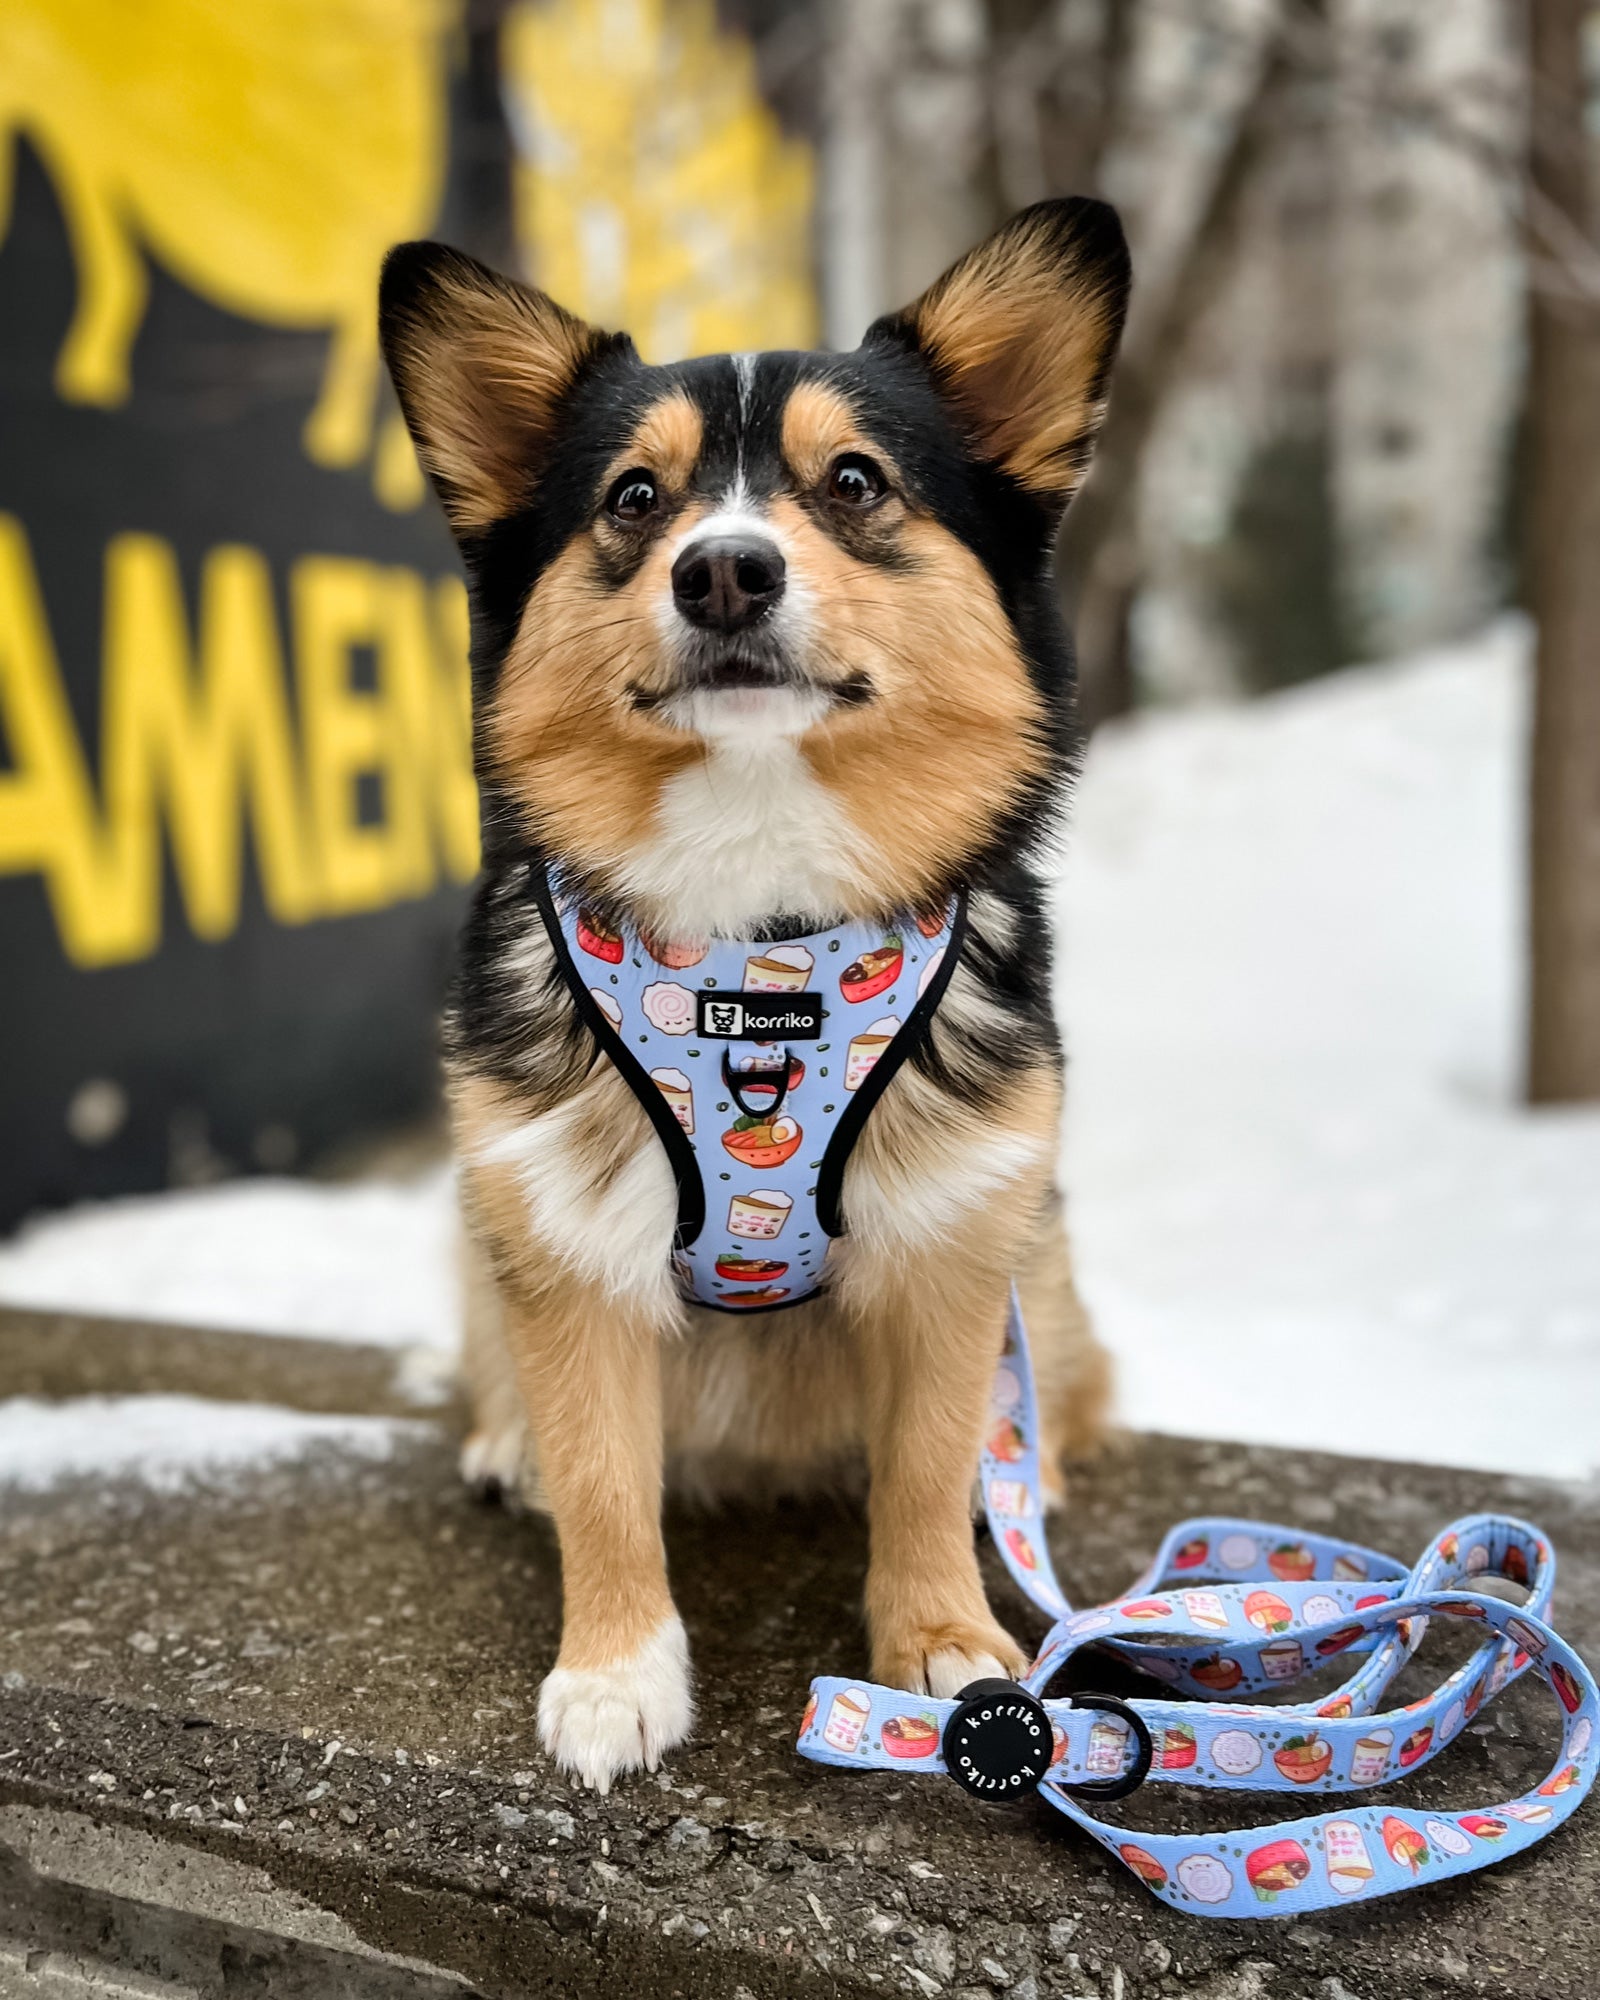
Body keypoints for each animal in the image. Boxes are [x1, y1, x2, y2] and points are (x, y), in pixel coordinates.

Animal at [378, 199, 1128, 1800]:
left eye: (854, 481)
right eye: (632, 496)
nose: (722, 570)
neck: (753, 945)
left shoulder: (958, 1242)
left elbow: (929, 1463)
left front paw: (944, 1645)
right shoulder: (563, 1231)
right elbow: (605, 1479)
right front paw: (615, 1676)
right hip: (485, 1216)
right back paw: (506, 1442)